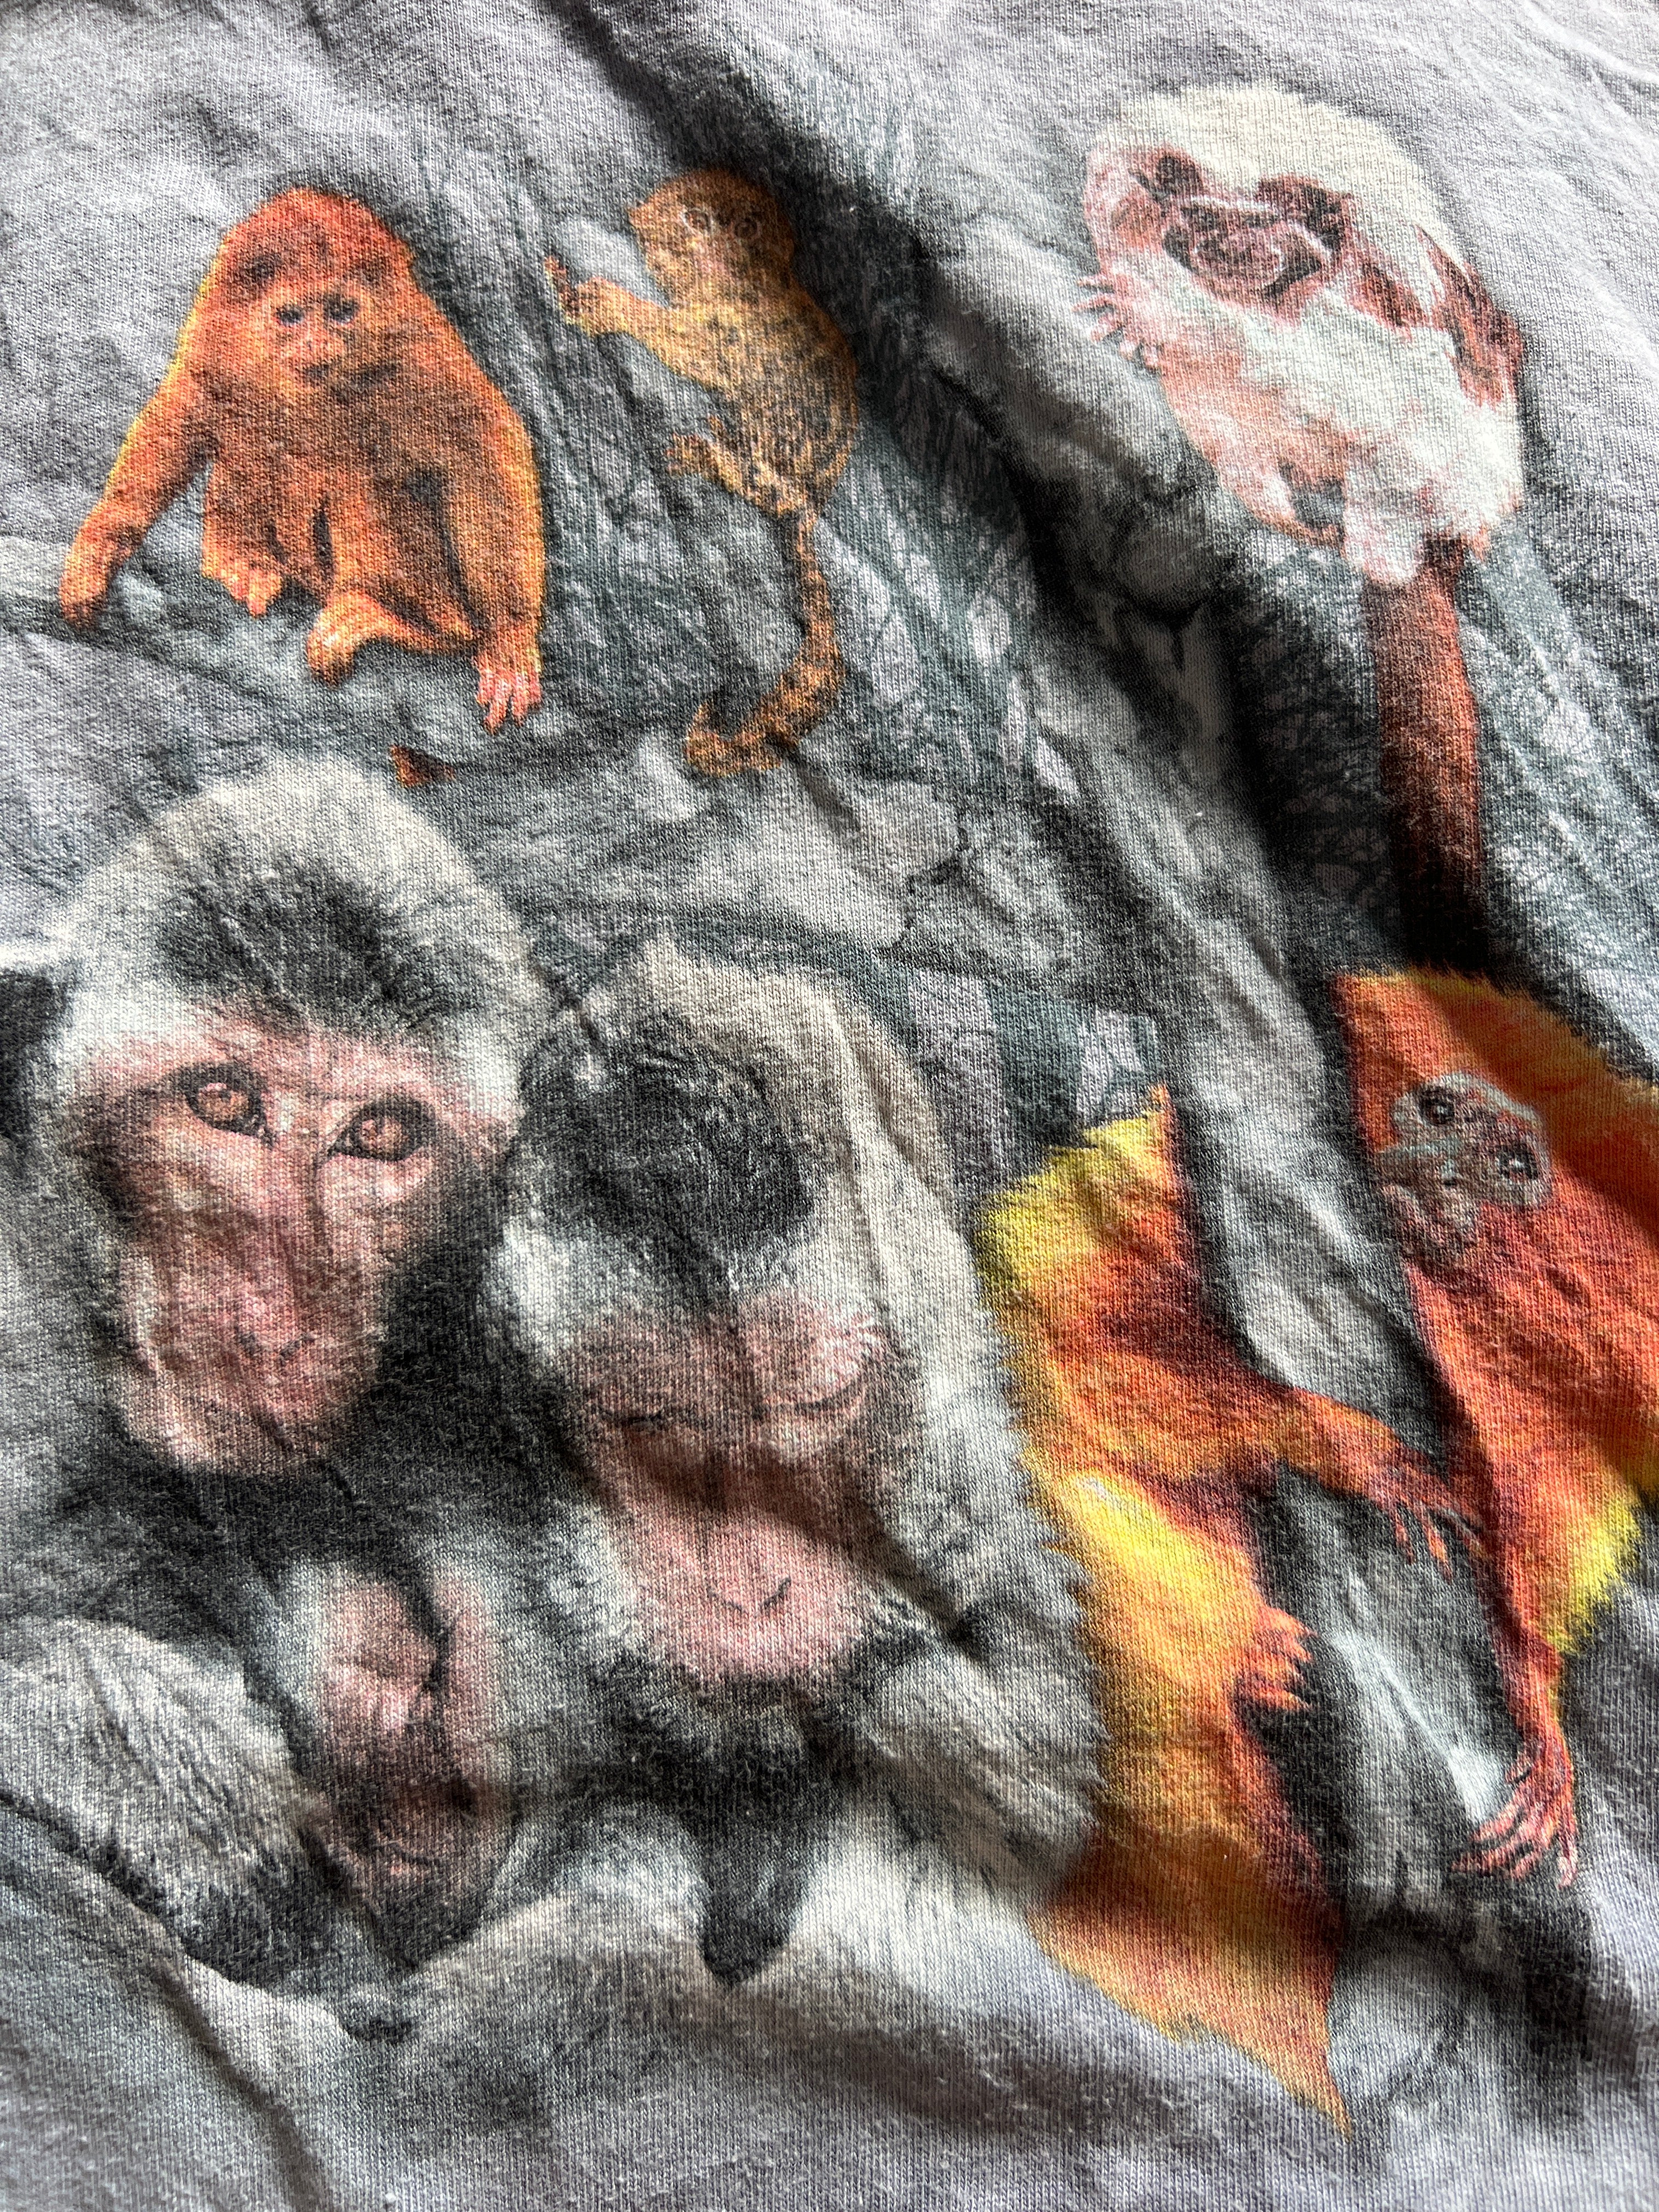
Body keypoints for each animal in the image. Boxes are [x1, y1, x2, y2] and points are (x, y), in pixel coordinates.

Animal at [59, 190, 546, 745]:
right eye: (291, 316)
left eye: (341, 311)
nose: (317, 345)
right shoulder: (217, 330)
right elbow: (190, 405)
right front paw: (101, 545)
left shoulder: (417, 349)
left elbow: (481, 448)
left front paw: (509, 638)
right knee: (251, 437)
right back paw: (239, 558)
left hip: (436, 597)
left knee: (358, 480)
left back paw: (395, 619)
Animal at [547, 170, 857, 776]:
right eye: (698, 220)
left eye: (747, 228)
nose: (720, 251)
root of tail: (814, 505)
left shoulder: (744, 327)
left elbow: (708, 355)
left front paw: (606, 305)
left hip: (782, 463)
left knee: (762, 476)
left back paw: (717, 459)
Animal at [976, 1088, 1479, 2125]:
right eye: (1435, 1121)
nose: (1453, 1192)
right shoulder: (1111, 1231)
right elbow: (1089, 1368)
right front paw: (1336, 1439)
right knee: (1082, 1515)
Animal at [1082, 90, 1524, 970]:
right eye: (1198, 215)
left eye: (1273, 228)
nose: (1234, 247)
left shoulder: (1376, 300)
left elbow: (1354, 363)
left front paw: (1158, 312)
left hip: (1452, 466)